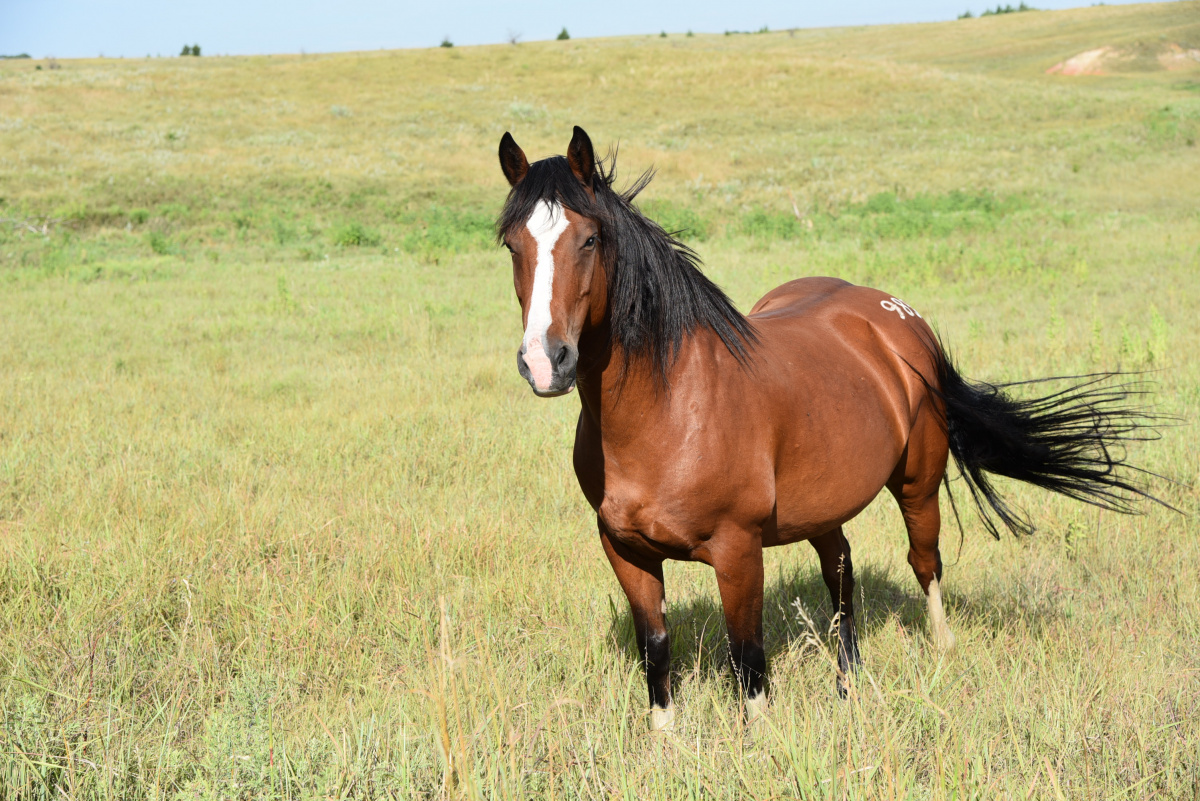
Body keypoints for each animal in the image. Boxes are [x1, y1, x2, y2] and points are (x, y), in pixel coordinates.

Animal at [494, 126, 1161, 733]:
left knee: (925, 562)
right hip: (822, 507)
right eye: (512, 245)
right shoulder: (624, 549)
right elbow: (655, 651)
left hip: (918, 484)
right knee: (840, 574)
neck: (670, 407)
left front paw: (757, 746)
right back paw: (848, 683)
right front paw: (664, 745)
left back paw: (940, 651)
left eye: (588, 238)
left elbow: (748, 660)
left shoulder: (737, 551)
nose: (545, 362)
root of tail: (899, 319)